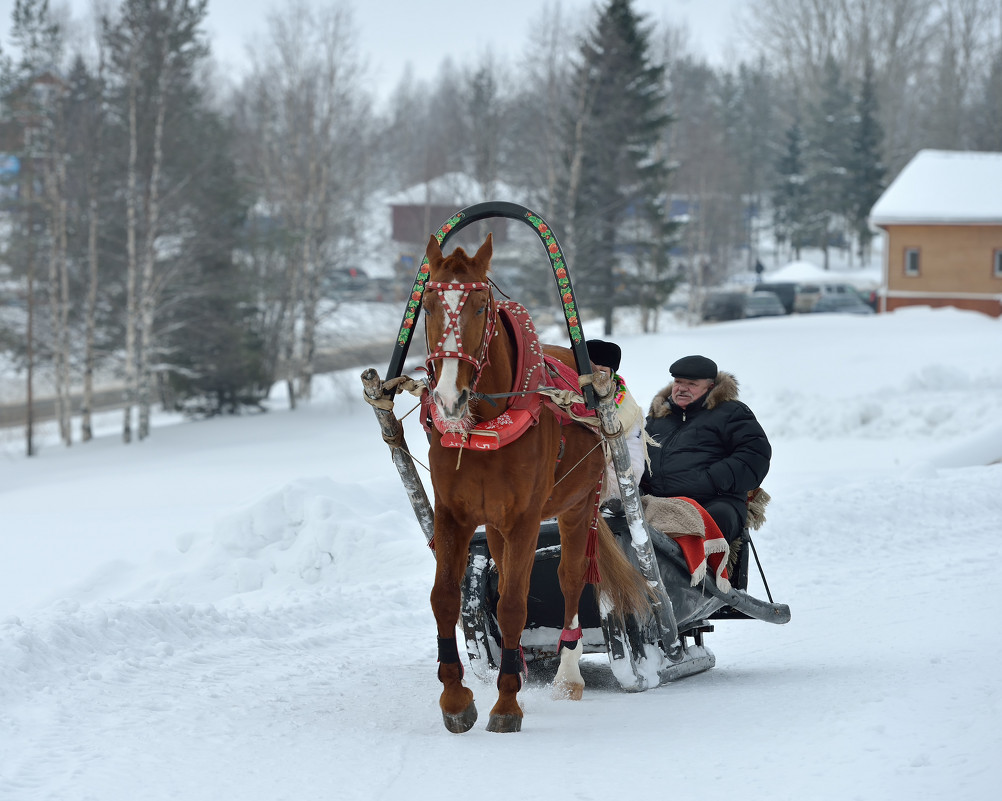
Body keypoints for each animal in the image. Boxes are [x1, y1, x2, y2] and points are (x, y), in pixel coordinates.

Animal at [420, 230, 649, 733]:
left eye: (480, 305)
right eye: (427, 303)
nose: (448, 398)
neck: (486, 423)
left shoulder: (526, 518)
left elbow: (513, 605)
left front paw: (506, 704)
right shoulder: (454, 515)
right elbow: (445, 597)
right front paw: (456, 698)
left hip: (578, 506)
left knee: (570, 578)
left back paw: (567, 673)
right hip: (497, 524)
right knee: (506, 573)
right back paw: (520, 665)